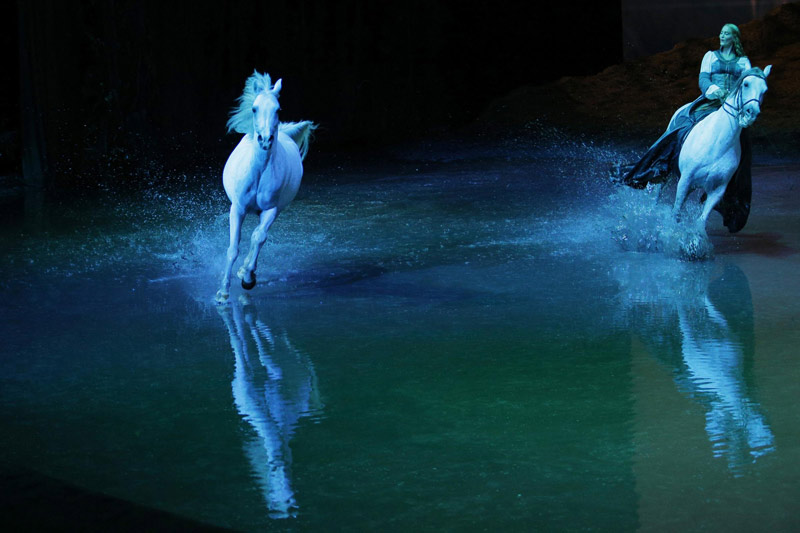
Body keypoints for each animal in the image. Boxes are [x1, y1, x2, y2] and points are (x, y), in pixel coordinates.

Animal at [216, 71, 317, 303]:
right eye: (254, 108)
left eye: (278, 109)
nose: (265, 140)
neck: (259, 173)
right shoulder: (237, 209)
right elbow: (233, 248)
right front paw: (223, 292)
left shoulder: (271, 209)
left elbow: (259, 237)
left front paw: (248, 279)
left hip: (275, 210)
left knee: (257, 235)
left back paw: (246, 271)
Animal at [671, 66, 771, 229]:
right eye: (746, 84)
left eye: (765, 90)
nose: (752, 113)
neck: (718, 143)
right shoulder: (685, 179)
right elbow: (676, 213)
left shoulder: (717, 190)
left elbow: (700, 221)